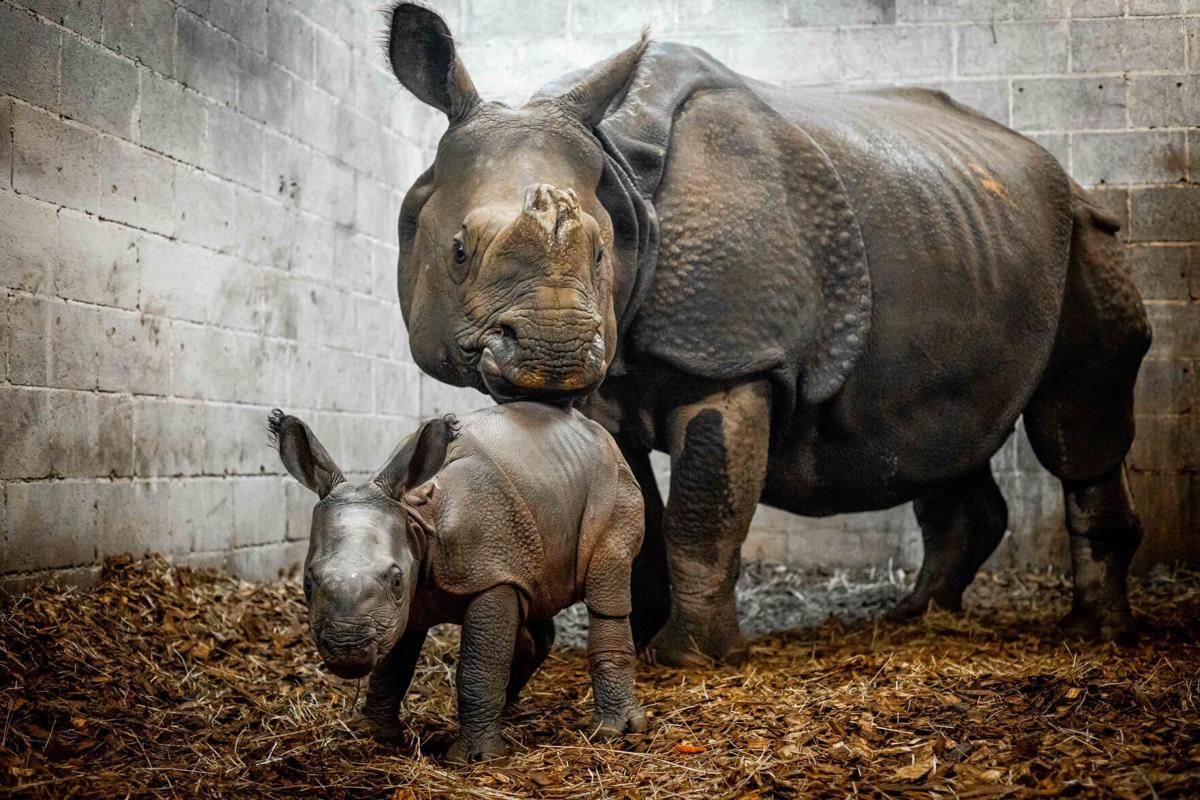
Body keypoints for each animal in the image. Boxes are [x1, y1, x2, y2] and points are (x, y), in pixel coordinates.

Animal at [381, 3, 1152, 665]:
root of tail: (1065, 176)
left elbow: (703, 506)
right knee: (946, 433)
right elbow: (633, 510)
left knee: (1074, 414)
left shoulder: (734, 358)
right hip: (965, 229)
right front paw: (641, 635)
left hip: (1086, 234)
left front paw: (689, 660)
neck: (623, 177)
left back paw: (1094, 635)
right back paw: (918, 616)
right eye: (457, 251)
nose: (556, 352)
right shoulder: (614, 376)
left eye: (602, 254)